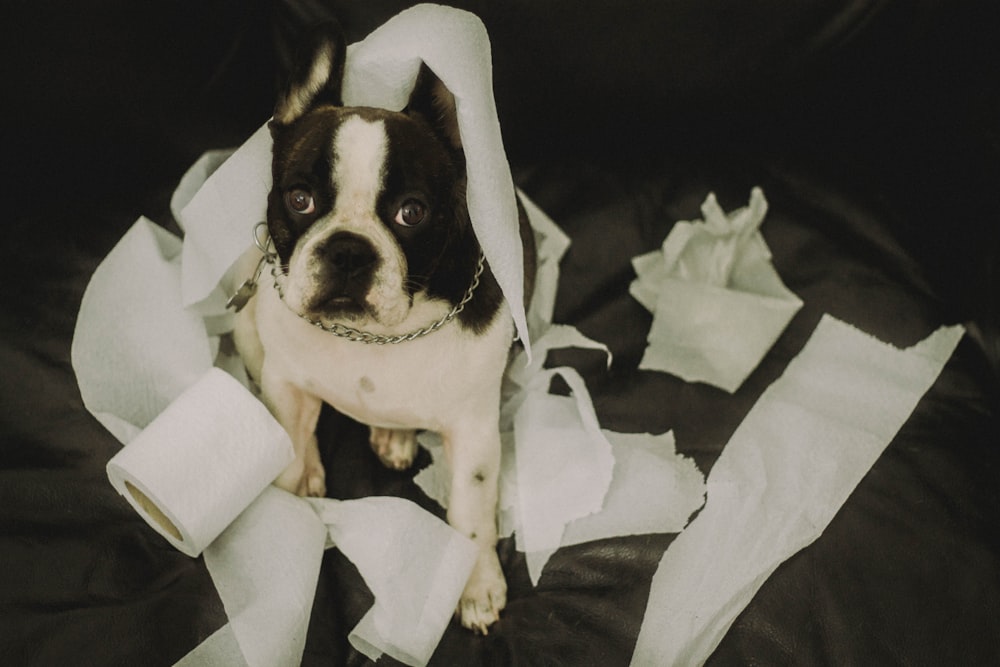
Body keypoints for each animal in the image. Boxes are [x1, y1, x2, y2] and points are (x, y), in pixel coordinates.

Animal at [230, 22, 536, 636]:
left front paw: (476, 583)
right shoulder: (286, 384)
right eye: (299, 199)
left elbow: (471, 511)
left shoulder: (474, 430)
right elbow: (289, 444)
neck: (376, 338)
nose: (348, 250)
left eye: (411, 212)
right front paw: (288, 511)